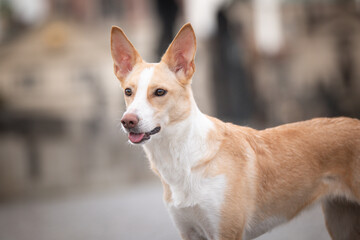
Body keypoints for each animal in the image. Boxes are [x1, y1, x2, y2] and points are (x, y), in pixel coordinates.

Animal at [110, 23, 360, 240]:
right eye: (128, 92)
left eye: (160, 92)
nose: (127, 121)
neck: (182, 156)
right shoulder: (189, 232)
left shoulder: (226, 232)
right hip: (341, 222)